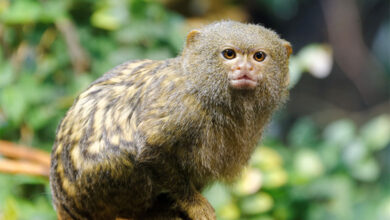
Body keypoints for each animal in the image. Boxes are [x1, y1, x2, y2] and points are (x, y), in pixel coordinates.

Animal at [50, 20, 290, 218]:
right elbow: (152, 150)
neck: (203, 90)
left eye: (259, 56)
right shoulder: (181, 109)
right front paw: (194, 204)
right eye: (229, 54)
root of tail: (64, 204)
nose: (245, 68)